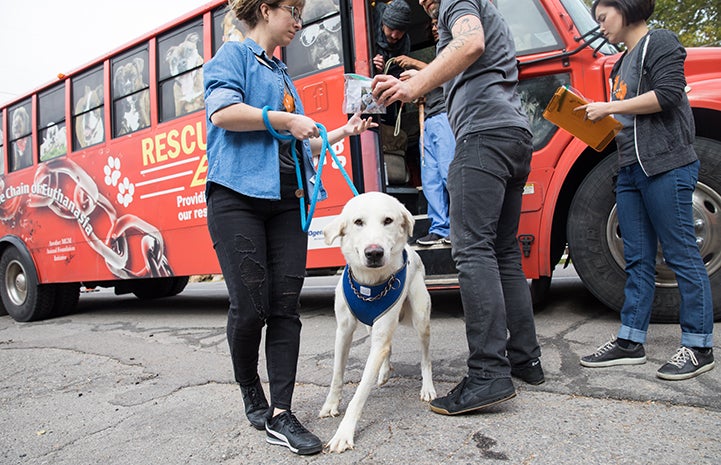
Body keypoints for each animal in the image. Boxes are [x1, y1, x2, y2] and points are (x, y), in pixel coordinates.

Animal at [320, 190, 434, 452]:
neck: (369, 284)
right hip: (372, 327)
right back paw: (384, 372)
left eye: (388, 220)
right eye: (358, 222)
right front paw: (331, 404)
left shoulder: (382, 332)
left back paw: (428, 387)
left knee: (424, 357)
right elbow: (337, 375)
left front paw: (344, 433)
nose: (374, 252)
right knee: (387, 348)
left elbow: (360, 392)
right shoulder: (344, 331)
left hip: (421, 319)